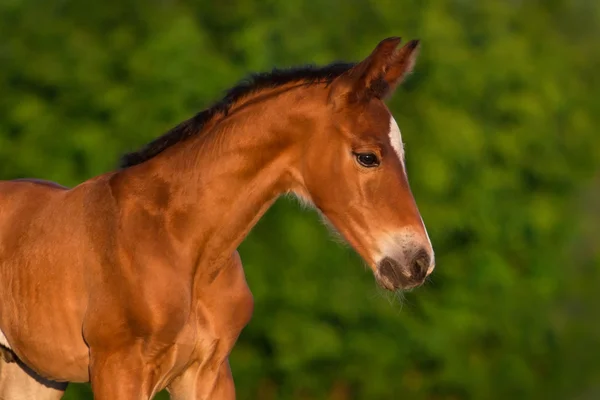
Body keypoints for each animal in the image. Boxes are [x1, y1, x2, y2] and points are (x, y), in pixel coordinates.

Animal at [0, 36, 434, 396]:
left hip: (31, 374)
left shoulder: (209, 372)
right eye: (367, 156)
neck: (183, 242)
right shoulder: (118, 369)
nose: (419, 262)